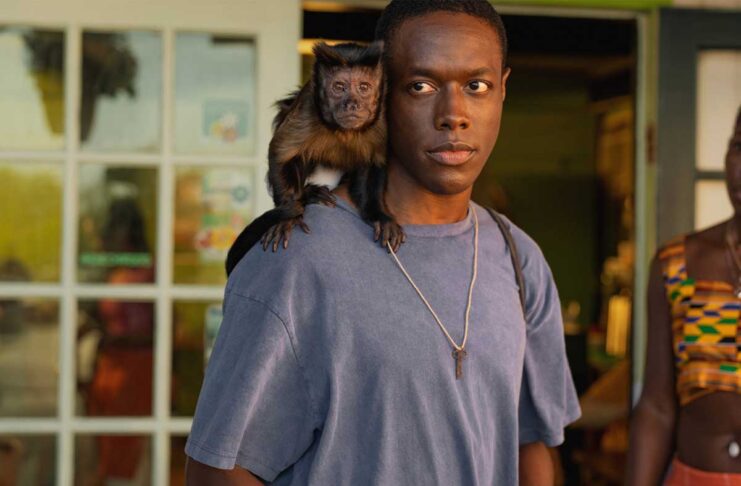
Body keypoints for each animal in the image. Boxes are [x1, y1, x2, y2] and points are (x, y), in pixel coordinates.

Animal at [225, 41, 403, 276]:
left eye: (364, 87)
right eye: (339, 87)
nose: (352, 104)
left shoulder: (381, 118)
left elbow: (374, 161)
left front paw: (378, 215)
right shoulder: (308, 107)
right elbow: (281, 153)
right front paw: (289, 216)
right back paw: (308, 194)